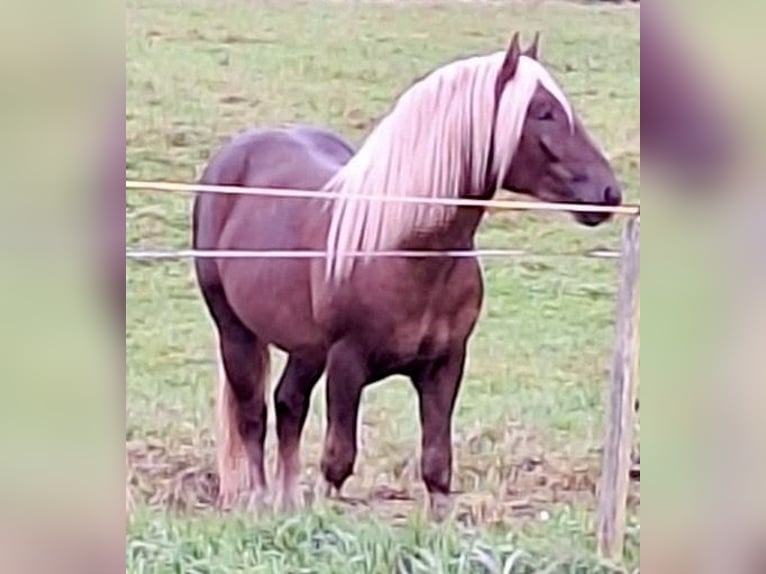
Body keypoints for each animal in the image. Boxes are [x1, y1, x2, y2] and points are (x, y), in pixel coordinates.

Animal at [192, 32, 624, 520]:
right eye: (542, 111)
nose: (608, 193)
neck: (409, 252)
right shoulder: (346, 363)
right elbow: (338, 462)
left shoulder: (445, 365)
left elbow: (436, 466)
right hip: (237, 332)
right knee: (253, 416)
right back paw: (262, 503)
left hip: (306, 349)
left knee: (289, 405)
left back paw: (288, 502)